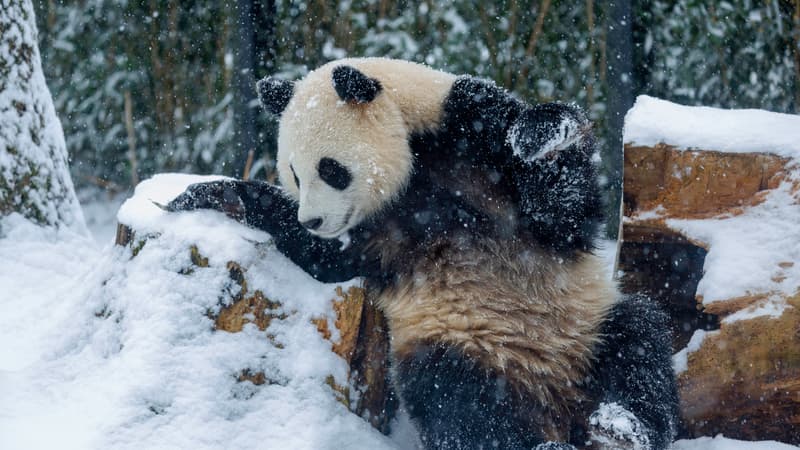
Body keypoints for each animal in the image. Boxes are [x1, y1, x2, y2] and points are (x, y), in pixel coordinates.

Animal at [167, 58, 676, 448]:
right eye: (293, 172)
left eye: (330, 169)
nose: (312, 219)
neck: (415, 166)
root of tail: (553, 403)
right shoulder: (372, 233)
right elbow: (327, 258)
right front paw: (210, 194)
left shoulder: (468, 126)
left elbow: (563, 212)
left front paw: (540, 136)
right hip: (462, 342)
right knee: (456, 398)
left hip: (581, 328)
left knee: (638, 344)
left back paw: (621, 427)